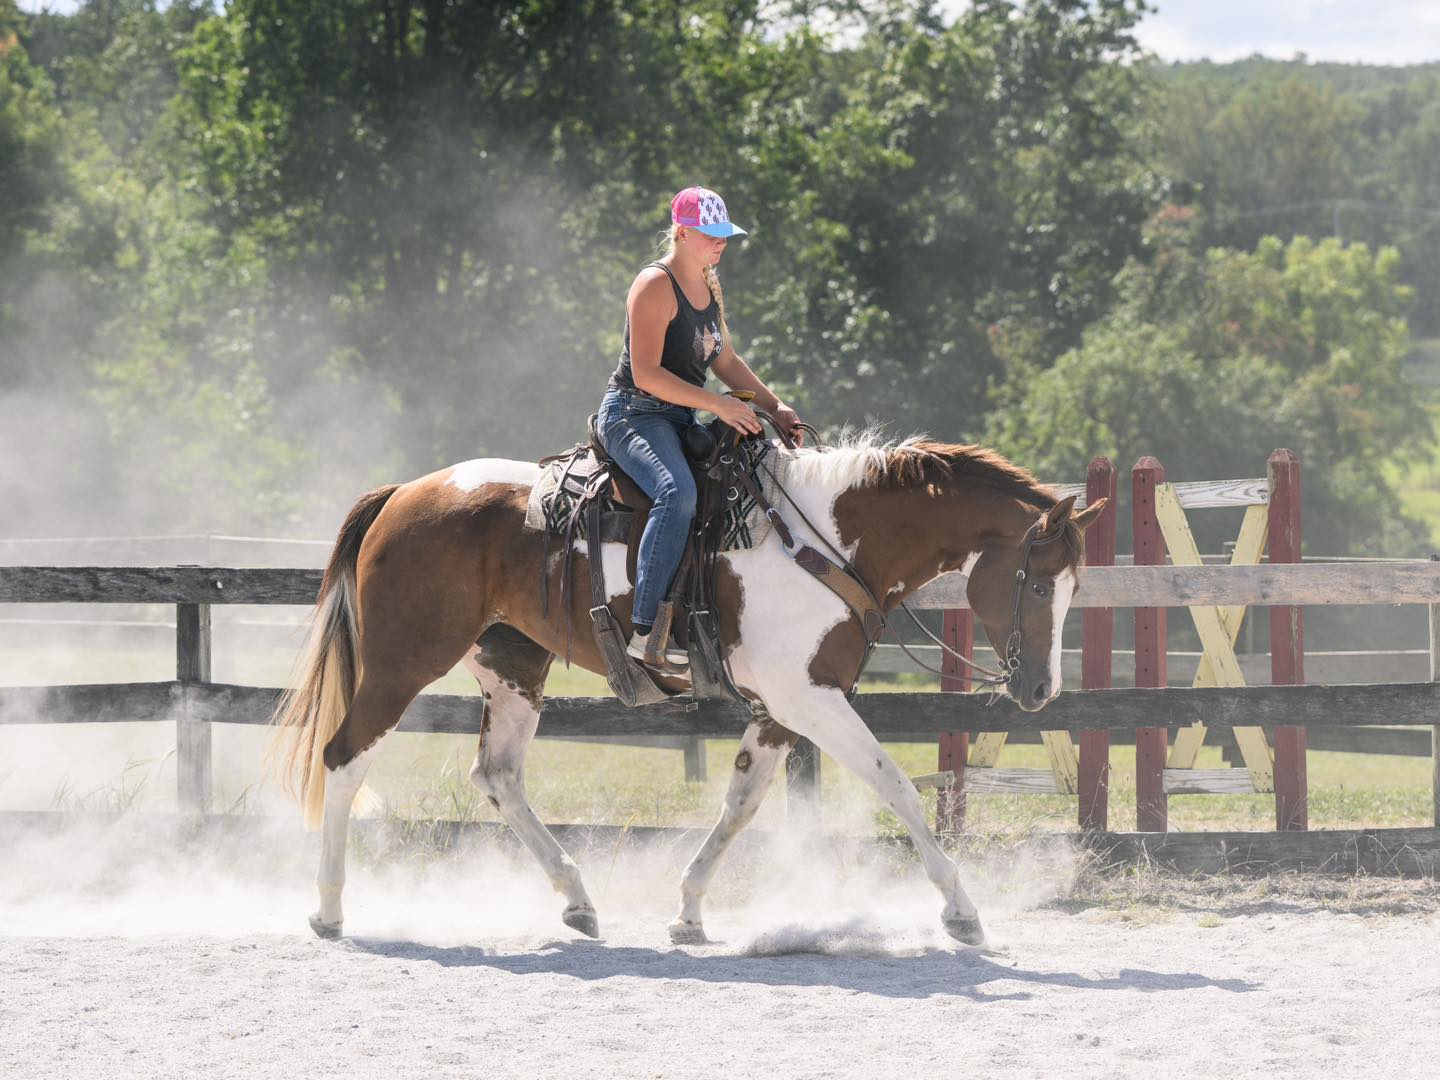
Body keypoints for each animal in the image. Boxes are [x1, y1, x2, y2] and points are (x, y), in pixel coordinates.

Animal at [270, 431, 1106, 947]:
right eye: (1037, 583)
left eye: (1074, 587)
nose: (1039, 688)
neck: (826, 545)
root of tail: (406, 493)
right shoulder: (811, 700)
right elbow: (895, 786)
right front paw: (961, 911)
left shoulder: (782, 708)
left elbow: (741, 801)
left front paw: (690, 910)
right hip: (401, 662)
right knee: (344, 758)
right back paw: (329, 908)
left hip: (513, 666)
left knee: (498, 775)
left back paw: (577, 898)